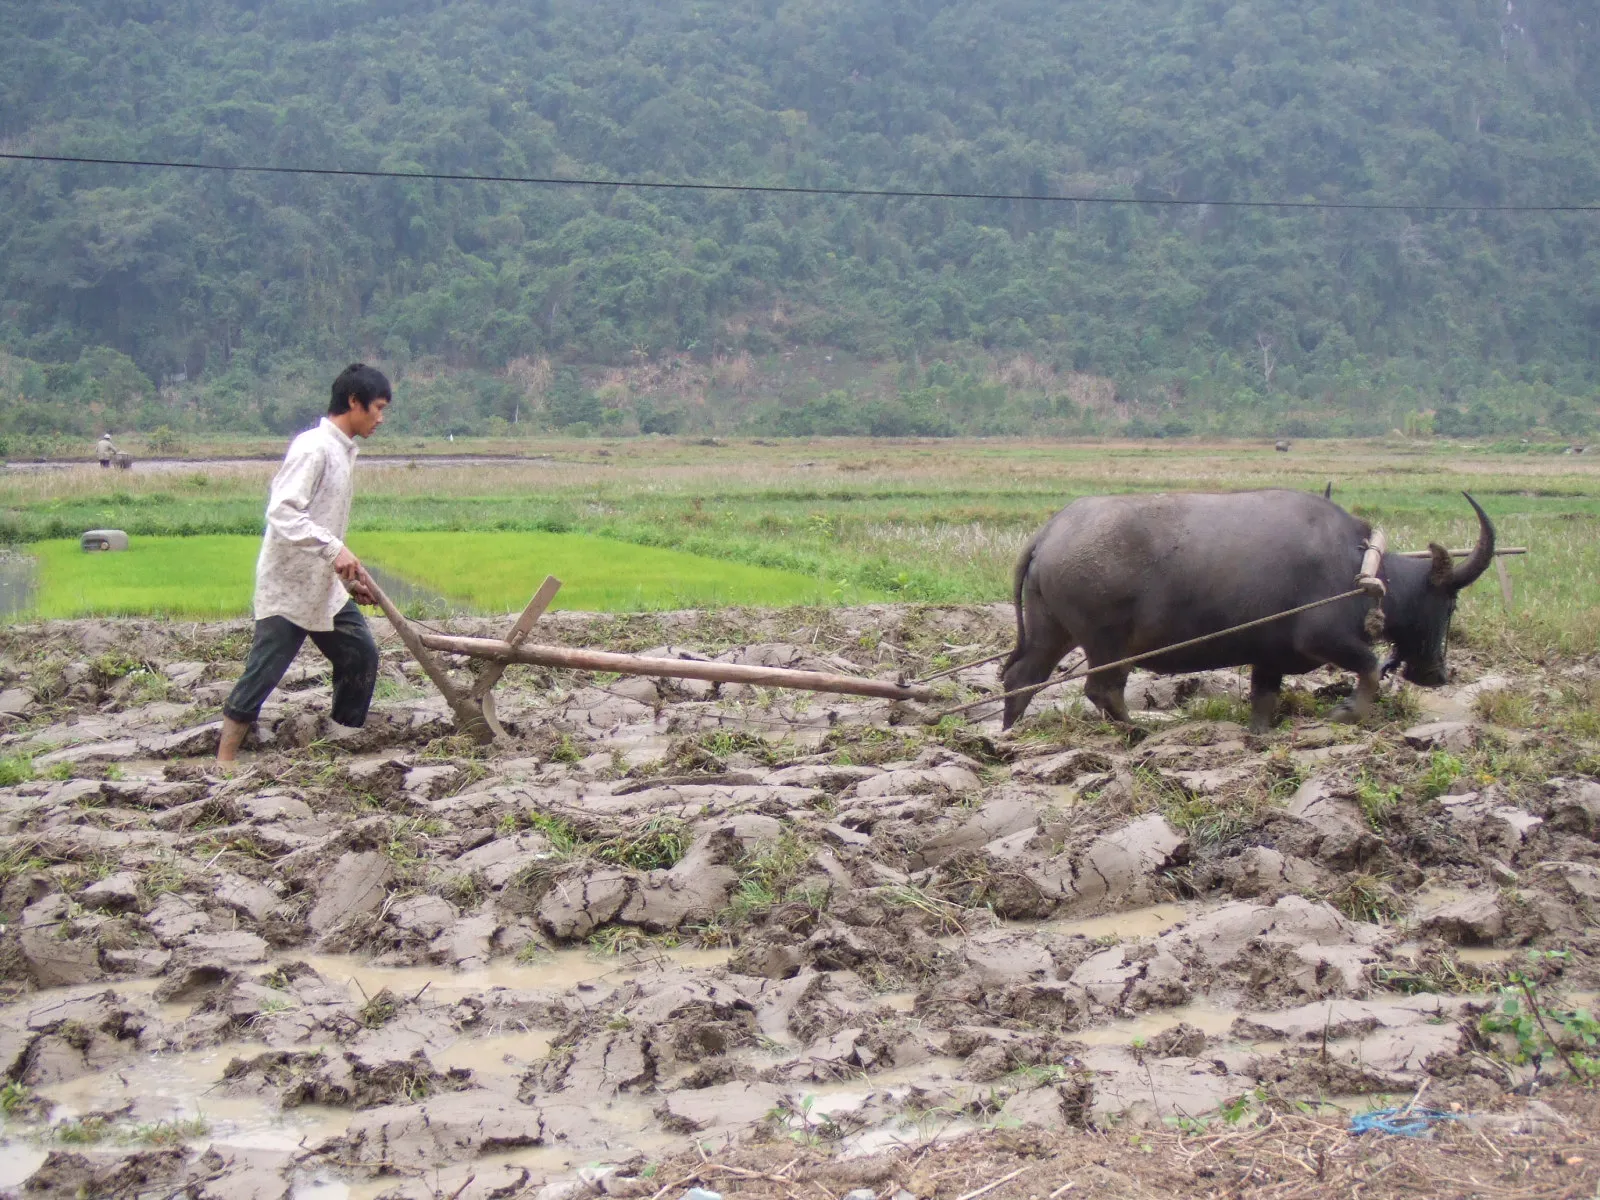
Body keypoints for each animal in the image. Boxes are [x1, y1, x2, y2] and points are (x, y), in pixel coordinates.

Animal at [1004, 489, 1491, 732]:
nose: (1437, 674)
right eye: (1449, 602)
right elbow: (1369, 668)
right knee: (1102, 690)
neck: (1360, 568)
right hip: (1108, 643)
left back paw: (1010, 730)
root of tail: (1049, 533)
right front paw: (1347, 713)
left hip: (1051, 631)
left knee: (1021, 678)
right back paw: (1138, 729)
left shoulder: (1269, 657)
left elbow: (1263, 700)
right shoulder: (1324, 639)